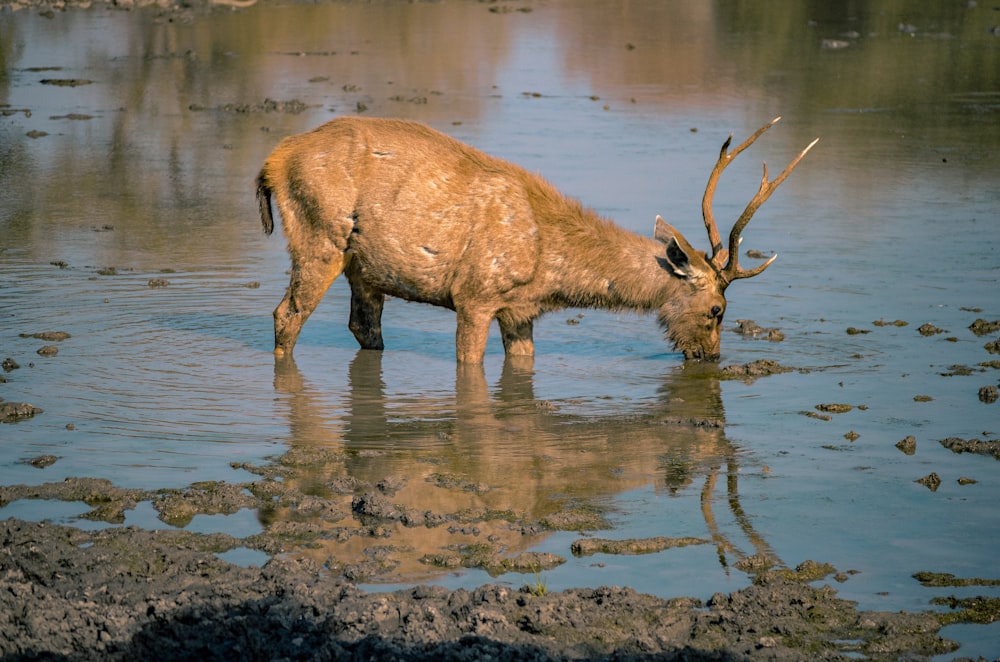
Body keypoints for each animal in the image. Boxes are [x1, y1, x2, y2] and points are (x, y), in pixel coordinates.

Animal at [254, 115, 816, 364]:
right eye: (718, 309)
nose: (710, 357)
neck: (551, 268)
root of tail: (271, 163)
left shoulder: (519, 311)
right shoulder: (475, 296)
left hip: (364, 269)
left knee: (362, 326)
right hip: (317, 239)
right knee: (286, 316)